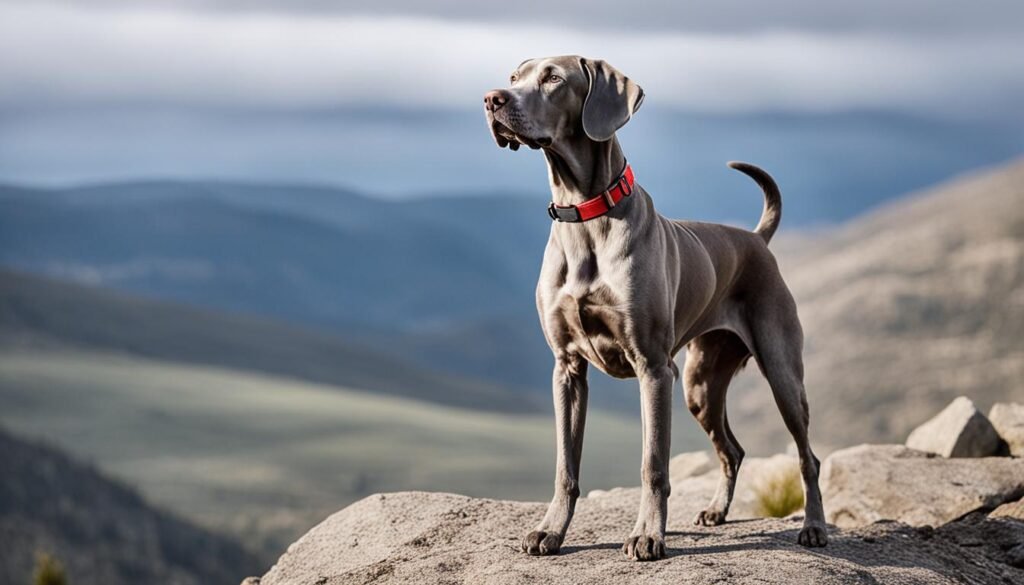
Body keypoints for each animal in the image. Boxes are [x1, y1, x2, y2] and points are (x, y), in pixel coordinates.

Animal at [483, 56, 827, 561]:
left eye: (553, 78)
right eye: (513, 77)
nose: (492, 99)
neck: (586, 215)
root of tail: (755, 239)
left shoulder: (653, 368)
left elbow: (653, 463)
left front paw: (648, 535)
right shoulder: (567, 369)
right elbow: (566, 464)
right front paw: (550, 531)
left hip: (780, 371)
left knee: (808, 456)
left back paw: (815, 527)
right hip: (700, 383)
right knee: (733, 450)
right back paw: (717, 511)